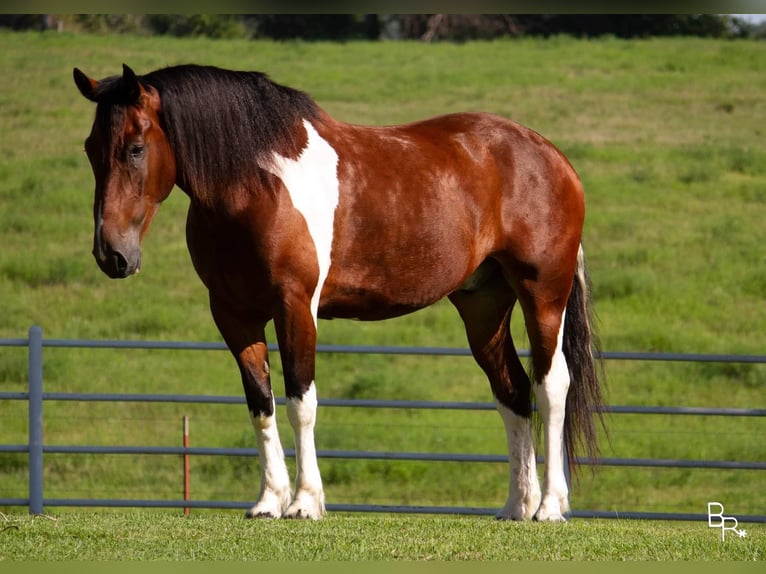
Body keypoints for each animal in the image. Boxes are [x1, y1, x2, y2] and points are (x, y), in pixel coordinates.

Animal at [73, 64, 608, 528]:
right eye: (90, 148)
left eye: (135, 148)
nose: (111, 254)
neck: (256, 183)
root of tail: (550, 155)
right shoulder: (233, 315)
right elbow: (261, 403)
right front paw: (269, 501)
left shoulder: (295, 307)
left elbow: (300, 401)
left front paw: (305, 502)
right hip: (483, 306)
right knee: (513, 391)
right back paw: (517, 505)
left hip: (543, 296)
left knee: (551, 386)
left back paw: (550, 506)